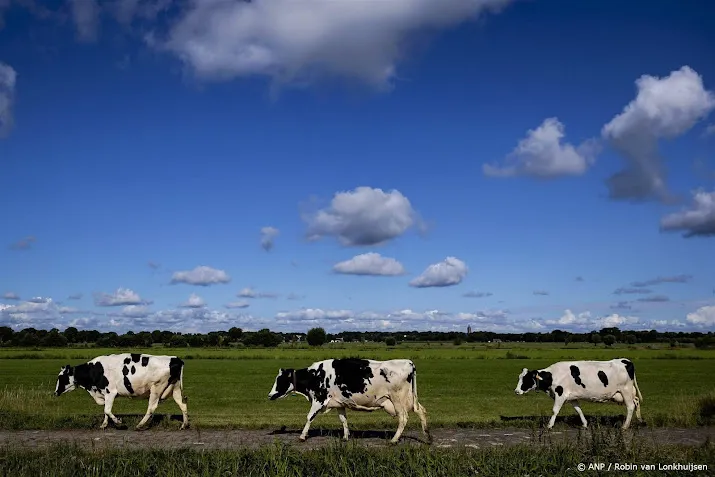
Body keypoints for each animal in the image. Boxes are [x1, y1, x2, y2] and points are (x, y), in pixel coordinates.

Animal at [54, 352, 189, 430]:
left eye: (61, 377)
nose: (55, 392)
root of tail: (175, 359)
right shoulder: (104, 393)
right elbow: (106, 411)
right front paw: (104, 424)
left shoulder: (110, 392)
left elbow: (107, 410)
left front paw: (119, 422)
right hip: (175, 388)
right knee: (182, 404)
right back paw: (184, 425)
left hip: (157, 387)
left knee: (151, 407)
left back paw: (139, 425)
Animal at [268, 356, 430, 442]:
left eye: (280, 380)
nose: (270, 395)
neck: (315, 375)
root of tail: (408, 362)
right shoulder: (339, 403)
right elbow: (343, 420)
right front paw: (346, 437)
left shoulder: (319, 399)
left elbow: (309, 417)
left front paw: (302, 436)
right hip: (410, 398)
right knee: (421, 411)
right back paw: (428, 437)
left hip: (398, 399)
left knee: (403, 417)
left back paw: (394, 440)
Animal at [516, 356, 644, 428]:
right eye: (520, 377)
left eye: (526, 379)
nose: (516, 391)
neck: (553, 375)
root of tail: (625, 360)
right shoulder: (572, 397)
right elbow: (579, 410)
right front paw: (585, 424)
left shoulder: (560, 394)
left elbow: (555, 411)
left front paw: (549, 425)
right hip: (622, 394)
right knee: (636, 401)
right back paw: (640, 420)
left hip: (625, 390)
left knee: (630, 406)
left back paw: (625, 426)